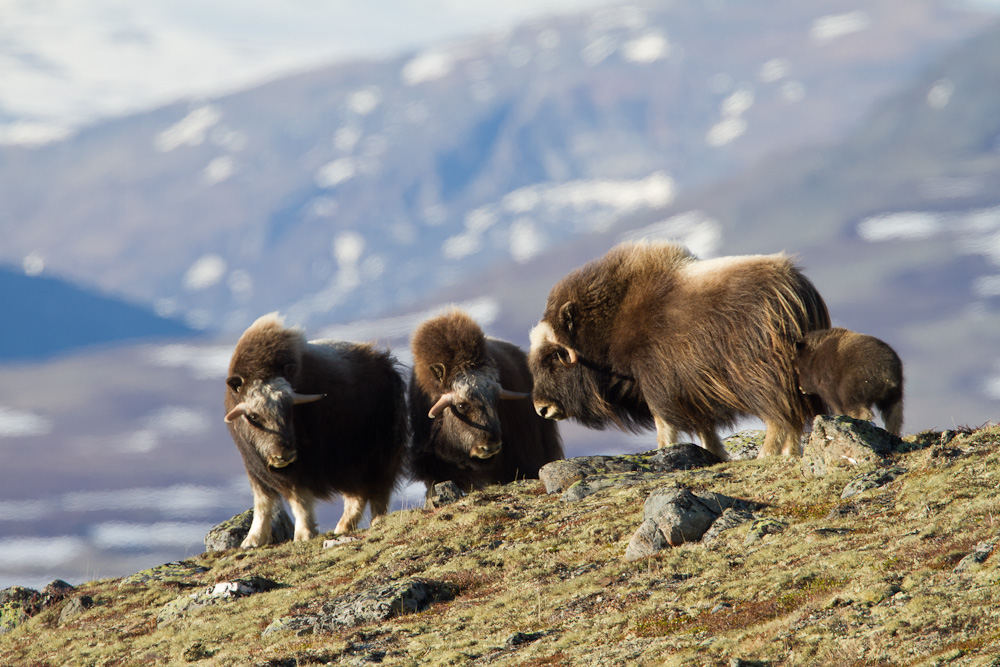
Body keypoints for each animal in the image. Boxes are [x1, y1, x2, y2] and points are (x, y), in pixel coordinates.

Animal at [225, 314, 408, 548]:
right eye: (254, 416)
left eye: (290, 408)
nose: (284, 456)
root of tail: (388, 366)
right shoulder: (255, 468)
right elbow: (263, 502)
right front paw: (252, 540)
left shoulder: (302, 468)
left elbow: (300, 500)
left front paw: (303, 535)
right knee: (357, 494)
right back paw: (343, 527)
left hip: (378, 454)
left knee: (377, 491)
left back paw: (377, 521)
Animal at [532, 243, 828, 462]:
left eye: (554, 357)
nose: (541, 409)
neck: (610, 322)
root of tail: (796, 288)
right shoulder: (692, 390)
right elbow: (705, 427)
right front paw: (716, 454)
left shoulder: (658, 384)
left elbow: (665, 425)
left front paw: (665, 451)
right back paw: (790, 454)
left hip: (761, 376)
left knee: (779, 415)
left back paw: (766, 456)